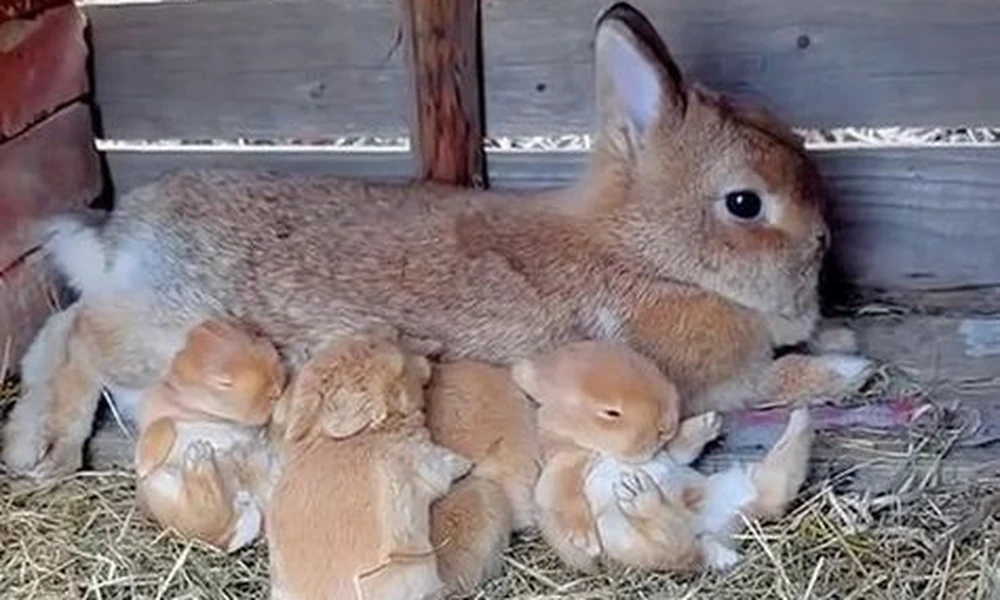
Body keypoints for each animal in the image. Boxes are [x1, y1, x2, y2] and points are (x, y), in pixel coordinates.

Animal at [4, 1, 873, 479]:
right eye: (744, 204)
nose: (826, 239)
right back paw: (45, 448)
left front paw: (835, 334)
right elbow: (770, 383)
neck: (646, 253)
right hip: (166, 333)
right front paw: (846, 368)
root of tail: (124, 236)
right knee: (84, 336)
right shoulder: (699, 383)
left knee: (59, 327)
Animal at [133, 318, 286, 552]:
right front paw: (143, 465)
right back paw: (200, 457)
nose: (276, 389)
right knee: (206, 515)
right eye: (223, 383)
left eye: (257, 339)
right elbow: (162, 426)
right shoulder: (157, 418)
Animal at [513, 341, 814, 573]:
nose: (666, 424)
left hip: (734, 484)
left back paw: (801, 421)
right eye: (611, 412)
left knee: (776, 490)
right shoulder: (564, 468)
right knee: (674, 544)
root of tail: (711, 533)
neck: (600, 451)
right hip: (624, 533)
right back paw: (640, 494)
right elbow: (563, 498)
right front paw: (586, 542)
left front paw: (709, 422)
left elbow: (681, 450)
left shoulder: (669, 454)